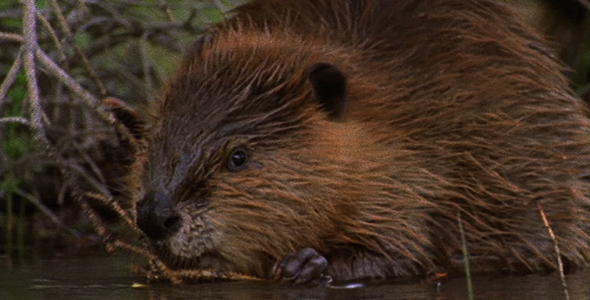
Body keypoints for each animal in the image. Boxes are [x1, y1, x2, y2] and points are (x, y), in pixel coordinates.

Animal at [107, 0, 590, 282]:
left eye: (239, 157)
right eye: (156, 140)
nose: (154, 215)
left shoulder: (425, 176)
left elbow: (406, 250)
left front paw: (307, 264)